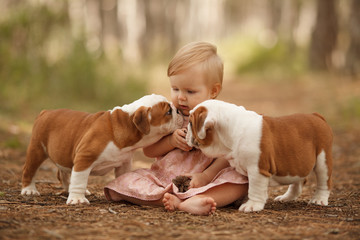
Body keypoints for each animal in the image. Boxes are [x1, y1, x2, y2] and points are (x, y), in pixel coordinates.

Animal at [21, 94, 183, 204]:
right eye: (168, 112)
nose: (180, 110)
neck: (126, 123)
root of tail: (46, 112)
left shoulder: (124, 163)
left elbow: (122, 177)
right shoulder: (84, 158)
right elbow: (79, 180)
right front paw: (78, 199)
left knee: (63, 174)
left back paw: (67, 189)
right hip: (37, 150)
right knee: (29, 170)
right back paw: (29, 190)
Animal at [187, 99, 334, 212]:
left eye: (190, 123)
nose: (185, 132)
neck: (232, 131)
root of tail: (316, 116)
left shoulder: (257, 169)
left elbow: (255, 188)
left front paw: (251, 205)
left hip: (323, 160)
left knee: (324, 181)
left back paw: (319, 199)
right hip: (298, 164)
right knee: (298, 181)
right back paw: (286, 197)